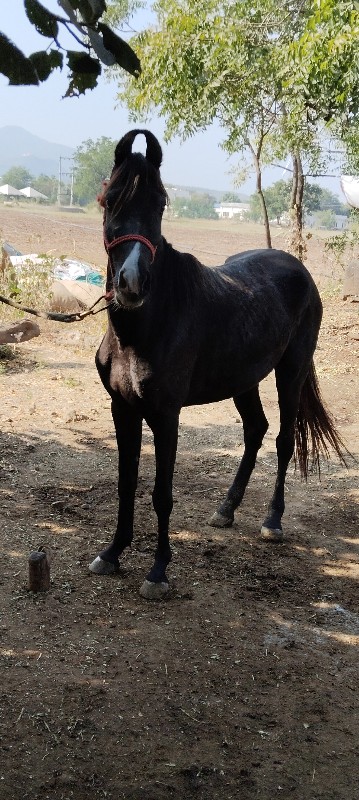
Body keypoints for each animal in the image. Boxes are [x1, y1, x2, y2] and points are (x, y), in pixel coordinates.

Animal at [88, 128, 348, 596]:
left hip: (291, 373)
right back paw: (226, 509)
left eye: (161, 202)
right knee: (256, 430)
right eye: (109, 199)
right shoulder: (123, 409)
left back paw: (272, 521)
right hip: (244, 380)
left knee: (283, 440)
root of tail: (298, 269)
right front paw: (112, 553)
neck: (147, 324)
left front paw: (158, 571)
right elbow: (125, 483)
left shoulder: (165, 415)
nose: (132, 284)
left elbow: (161, 493)